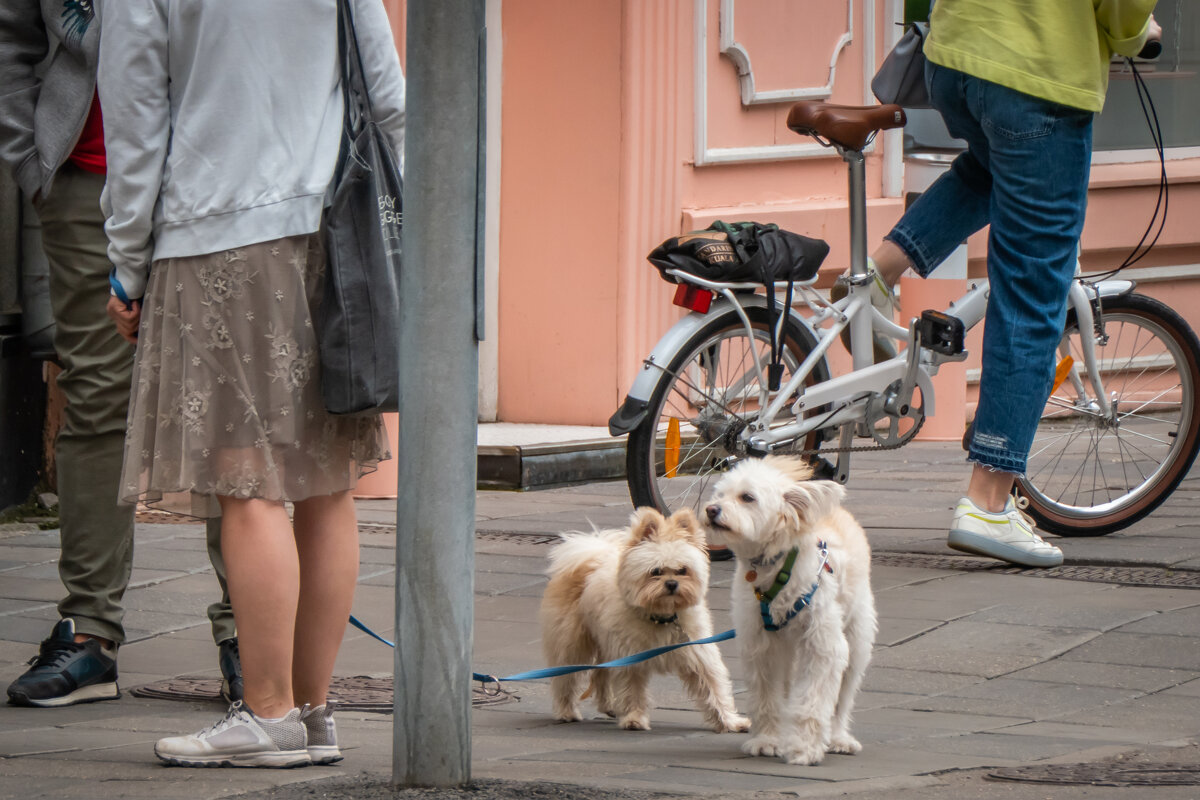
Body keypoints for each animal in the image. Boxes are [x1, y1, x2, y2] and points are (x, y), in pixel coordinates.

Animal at [544, 510, 748, 734]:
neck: (661, 617)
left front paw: (729, 721)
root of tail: (591, 555)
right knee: (566, 680)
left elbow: (715, 690)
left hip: (606, 645)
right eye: (656, 571)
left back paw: (608, 705)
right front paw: (634, 719)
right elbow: (631, 691)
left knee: (601, 675)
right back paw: (567, 711)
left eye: (683, 570)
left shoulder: (699, 656)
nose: (672, 584)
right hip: (572, 645)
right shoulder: (630, 660)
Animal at [700, 455, 873, 762]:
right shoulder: (762, 645)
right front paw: (767, 740)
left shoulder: (822, 646)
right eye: (719, 494)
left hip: (857, 638)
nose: (711, 509)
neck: (777, 565)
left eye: (747, 497)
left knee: (842, 698)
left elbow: (813, 702)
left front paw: (804, 748)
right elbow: (767, 698)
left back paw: (838, 738)